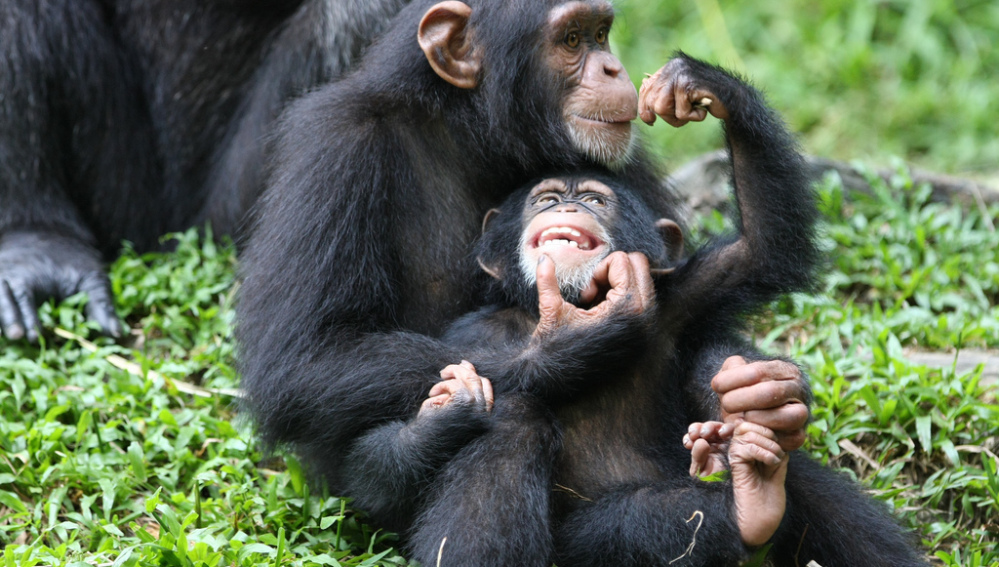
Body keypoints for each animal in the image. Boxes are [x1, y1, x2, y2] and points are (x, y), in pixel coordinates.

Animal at [432, 174, 928, 567]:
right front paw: (586, 331)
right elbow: (451, 374)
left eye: (595, 200)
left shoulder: (688, 295)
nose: (566, 206)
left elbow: (759, 247)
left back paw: (754, 492)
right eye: (544, 199)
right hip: (577, 547)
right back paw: (751, 505)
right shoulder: (474, 333)